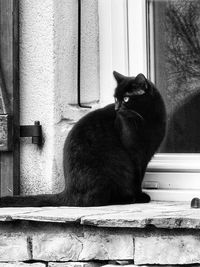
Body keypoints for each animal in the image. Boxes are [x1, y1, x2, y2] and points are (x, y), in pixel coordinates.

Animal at [0, 71, 166, 207]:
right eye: (115, 98)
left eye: (125, 98)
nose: (116, 108)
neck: (147, 119)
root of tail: (67, 191)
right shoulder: (135, 155)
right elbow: (137, 178)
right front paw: (140, 196)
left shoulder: (146, 155)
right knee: (95, 200)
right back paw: (128, 198)